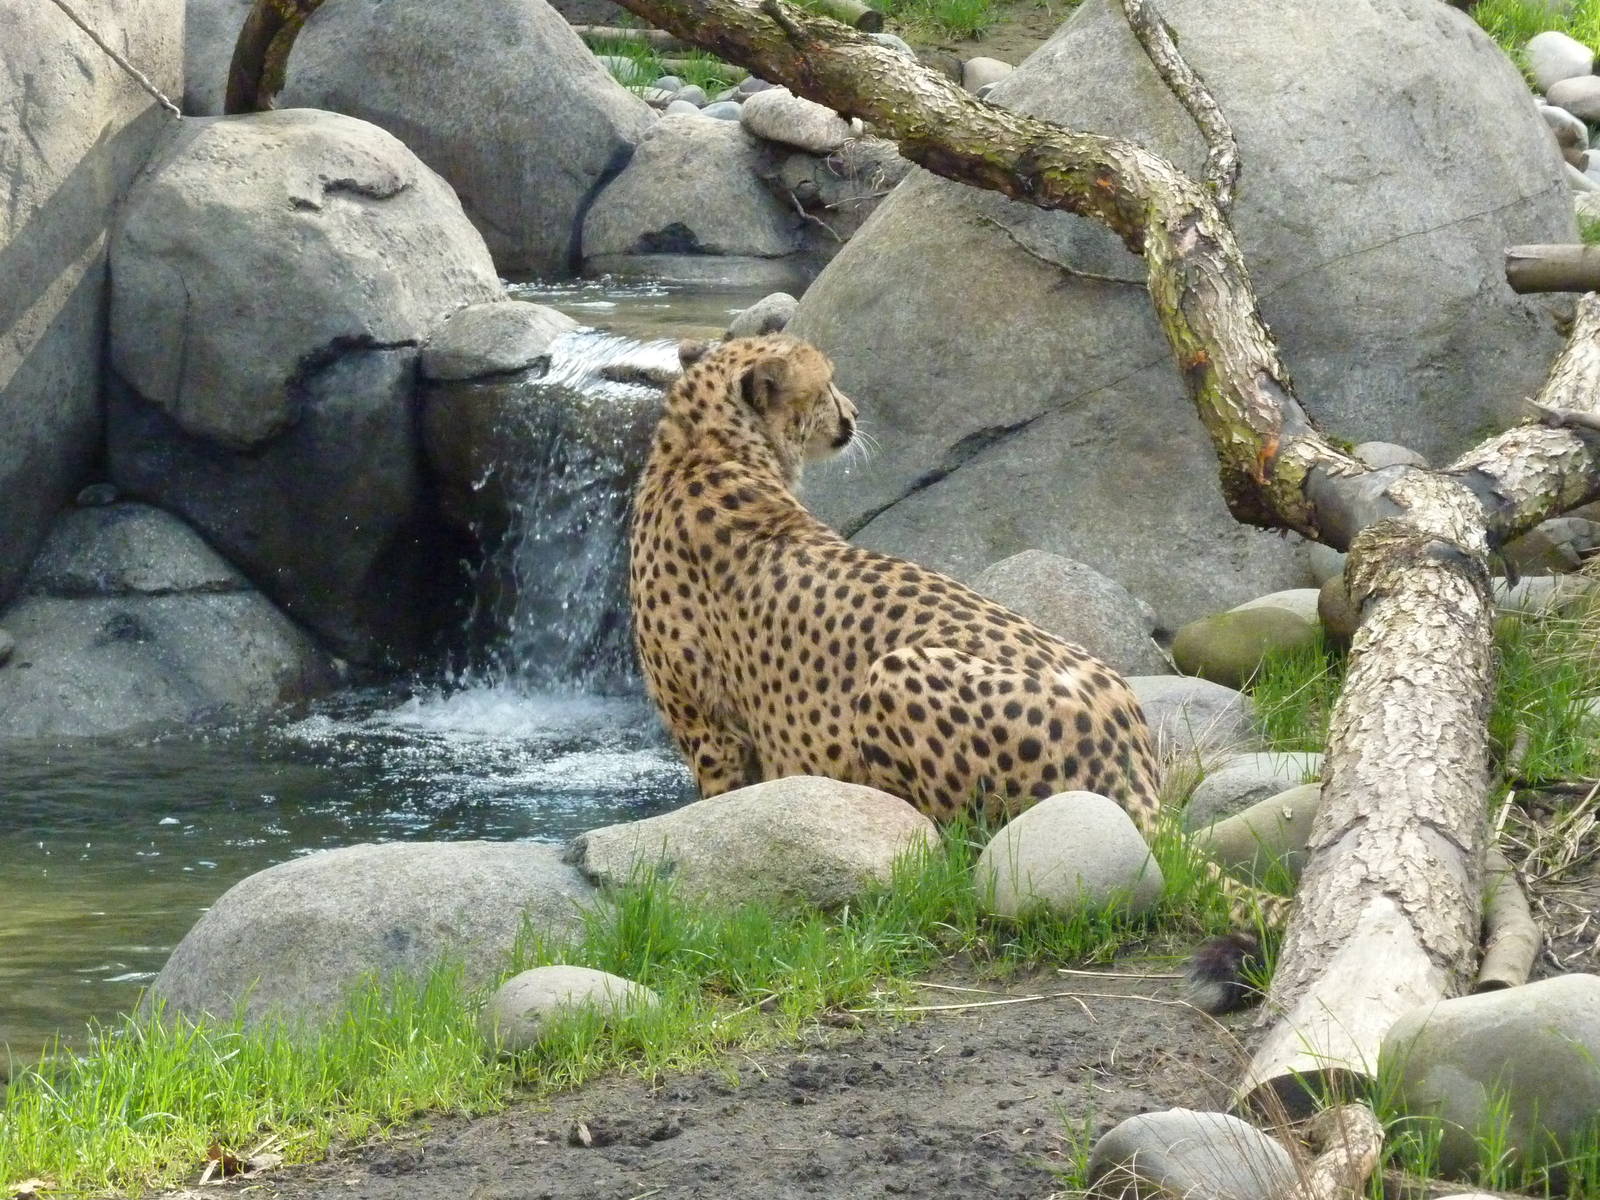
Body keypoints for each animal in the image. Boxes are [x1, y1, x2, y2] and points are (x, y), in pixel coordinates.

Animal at [628, 333, 1281, 1008]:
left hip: (895, 673)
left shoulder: (710, 737)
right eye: (827, 383)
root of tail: (1128, 757)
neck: (706, 450)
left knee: (956, 841)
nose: (853, 413)